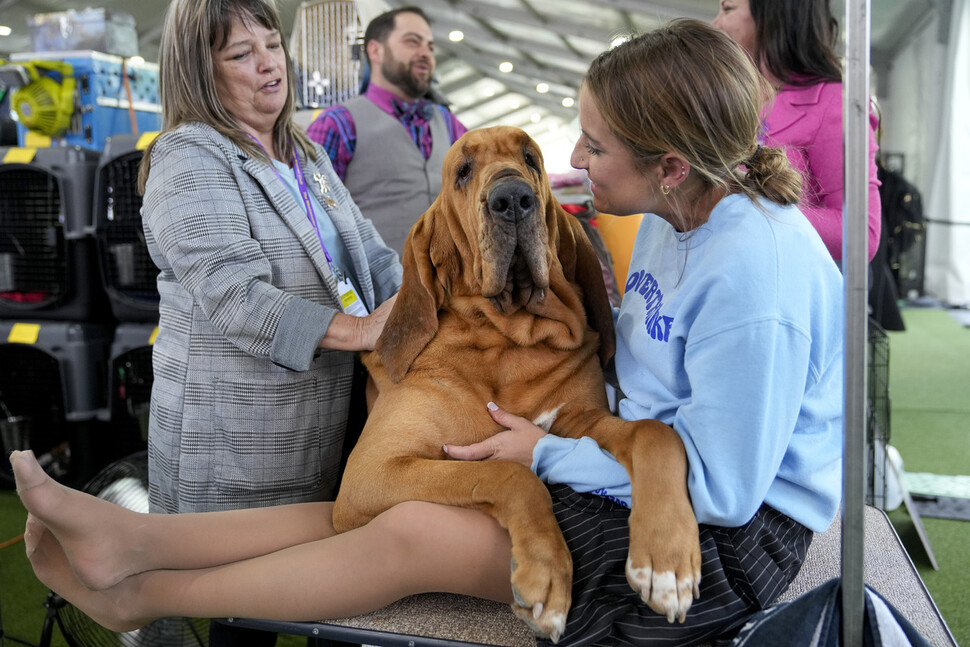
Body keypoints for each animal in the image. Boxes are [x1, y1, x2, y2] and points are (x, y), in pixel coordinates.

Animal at [330, 125, 696, 644]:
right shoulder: (371, 473)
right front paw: (546, 575)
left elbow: (655, 433)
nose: (513, 200)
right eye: (463, 171)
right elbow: (511, 472)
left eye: (531, 159)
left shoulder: (580, 420)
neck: (508, 341)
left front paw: (667, 563)